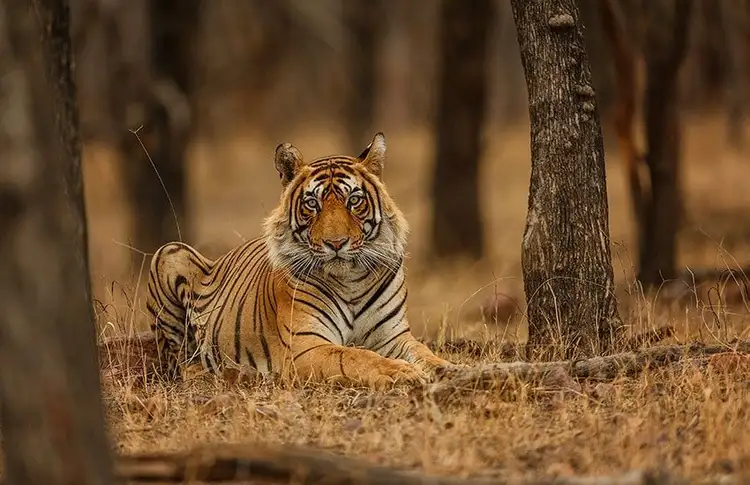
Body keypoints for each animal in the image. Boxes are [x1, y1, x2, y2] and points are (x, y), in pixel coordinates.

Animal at [146, 132, 454, 388]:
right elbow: (355, 357)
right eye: (312, 204)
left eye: (354, 201)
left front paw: (450, 370)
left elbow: (425, 353)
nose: (336, 243)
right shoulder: (306, 345)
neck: (350, 280)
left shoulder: (393, 336)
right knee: (181, 364)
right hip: (168, 252)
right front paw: (402, 372)